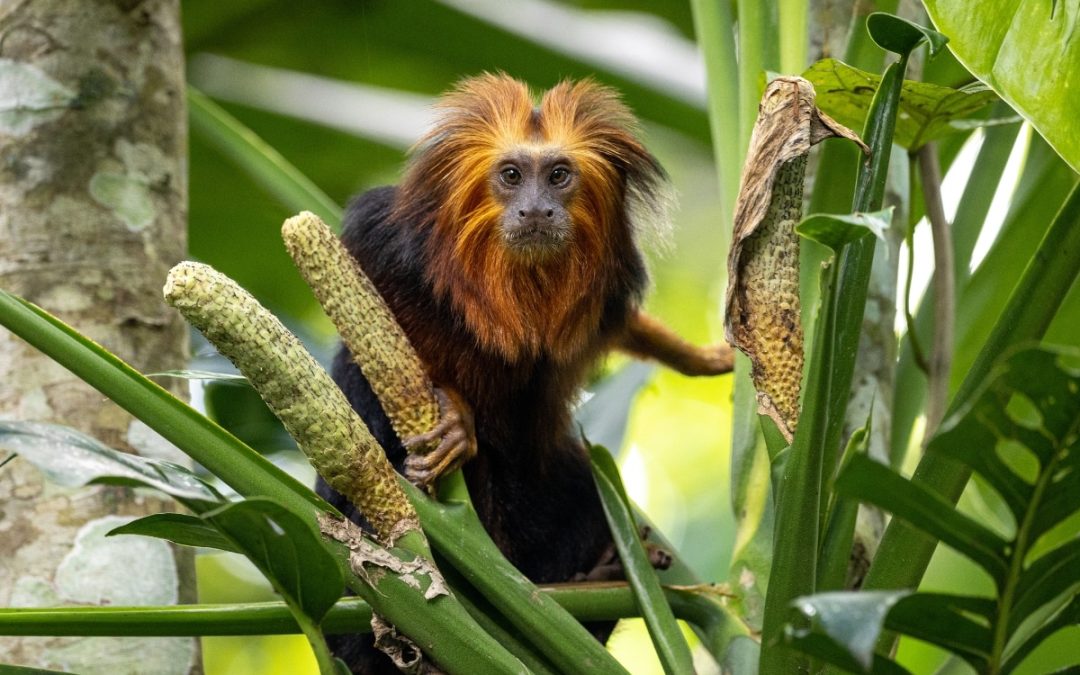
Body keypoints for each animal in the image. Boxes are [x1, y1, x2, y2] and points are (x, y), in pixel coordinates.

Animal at [317, 73, 733, 673]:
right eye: (512, 176)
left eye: (558, 176)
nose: (536, 211)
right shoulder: (387, 245)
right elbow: (371, 344)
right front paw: (455, 415)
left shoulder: (606, 293)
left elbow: (624, 332)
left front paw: (703, 359)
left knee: (579, 485)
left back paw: (599, 577)